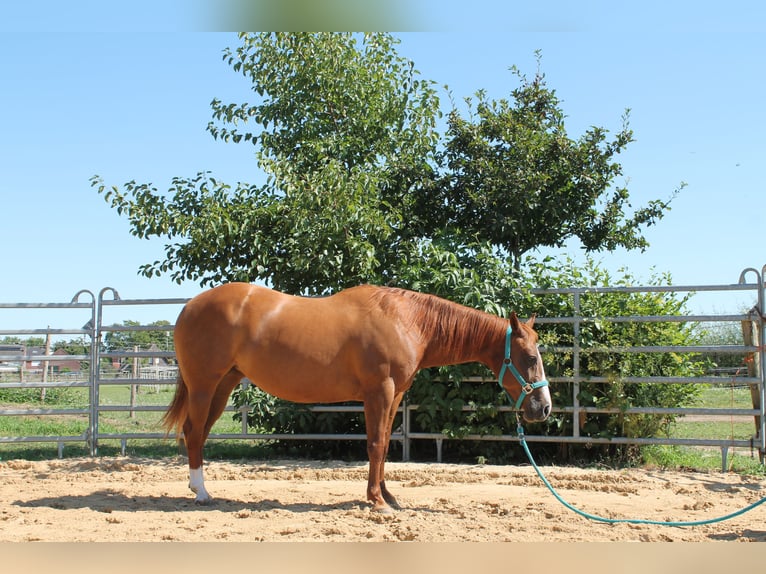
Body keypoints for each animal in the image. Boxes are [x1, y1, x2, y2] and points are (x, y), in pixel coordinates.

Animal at [162, 283, 552, 513]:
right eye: (530, 358)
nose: (544, 408)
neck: (406, 320)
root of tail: (189, 307)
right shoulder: (378, 391)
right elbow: (375, 444)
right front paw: (377, 502)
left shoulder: (394, 395)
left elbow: (385, 444)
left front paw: (388, 496)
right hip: (204, 385)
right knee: (194, 432)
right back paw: (202, 493)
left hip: (224, 384)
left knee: (199, 433)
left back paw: (198, 488)